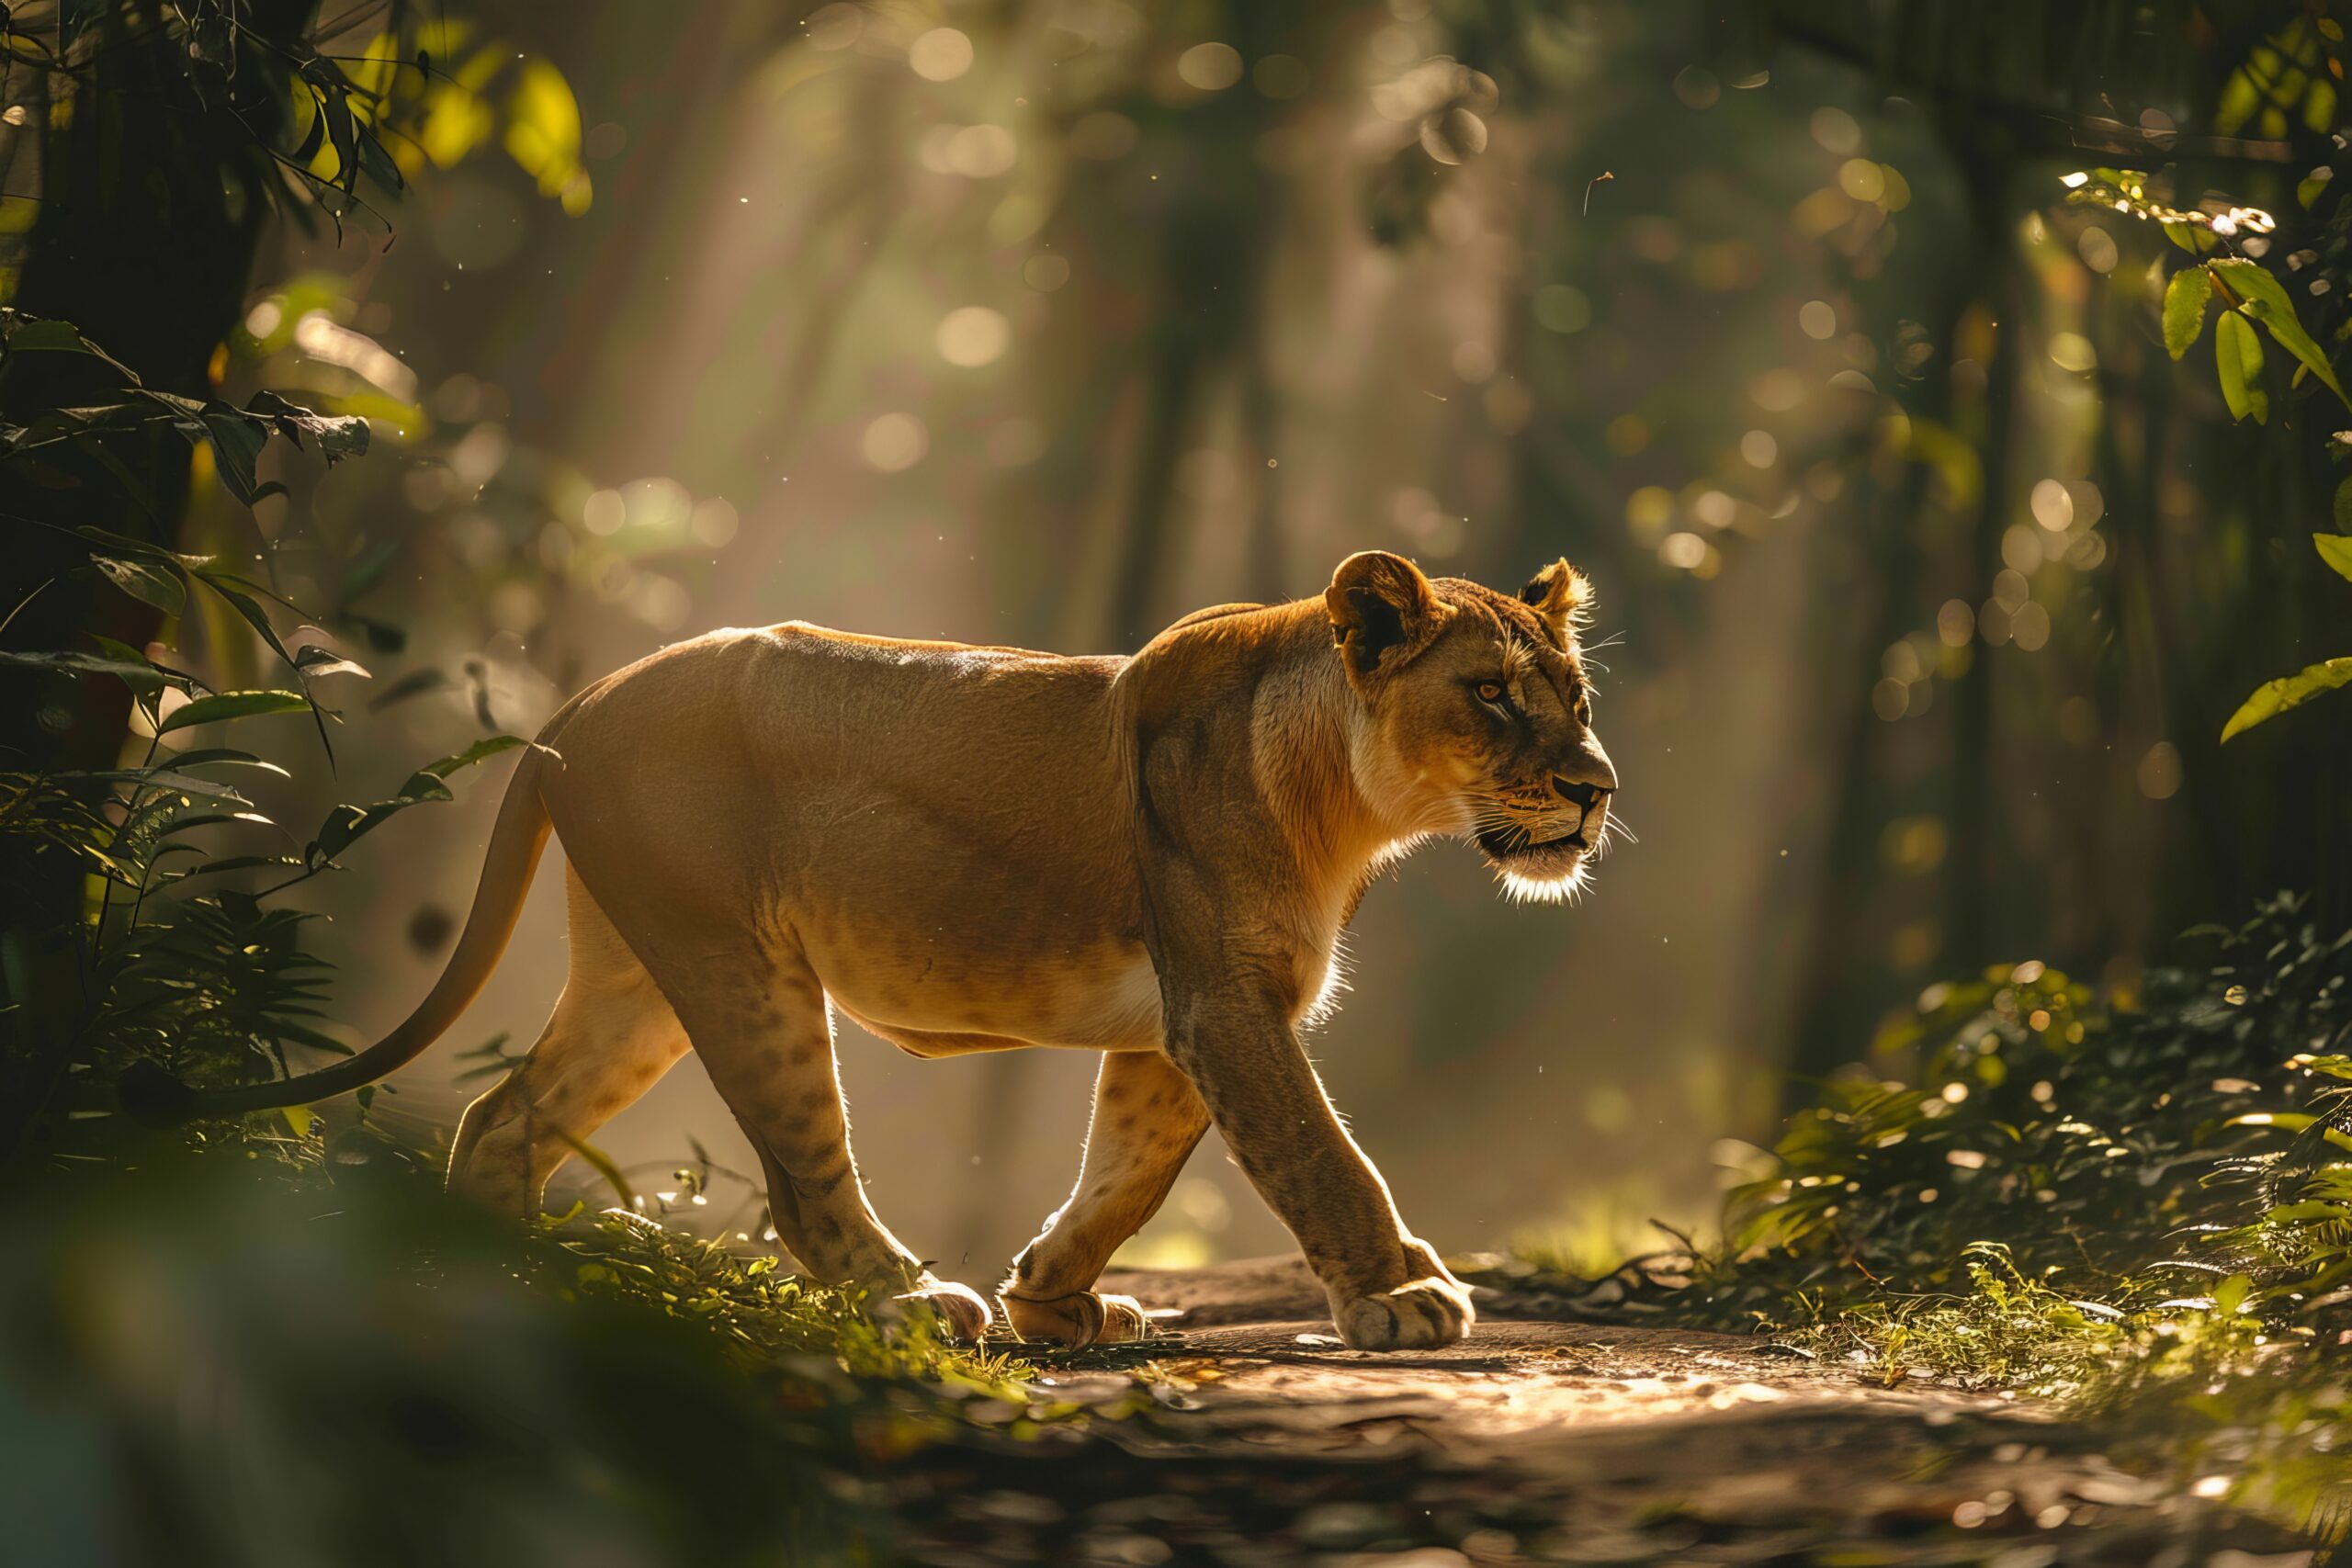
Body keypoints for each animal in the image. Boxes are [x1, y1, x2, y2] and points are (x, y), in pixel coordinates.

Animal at [129, 550, 1617, 1351]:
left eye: (1578, 699)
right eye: (1492, 697)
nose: (1596, 788)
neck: (1351, 804)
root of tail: (584, 700)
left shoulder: (1177, 1024)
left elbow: (1127, 1175)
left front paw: (1056, 1300)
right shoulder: (1221, 1004)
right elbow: (1319, 1151)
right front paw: (1403, 1294)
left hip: (634, 979)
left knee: (505, 1117)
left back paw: (504, 1288)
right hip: (740, 965)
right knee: (801, 1180)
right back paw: (908, 1302)